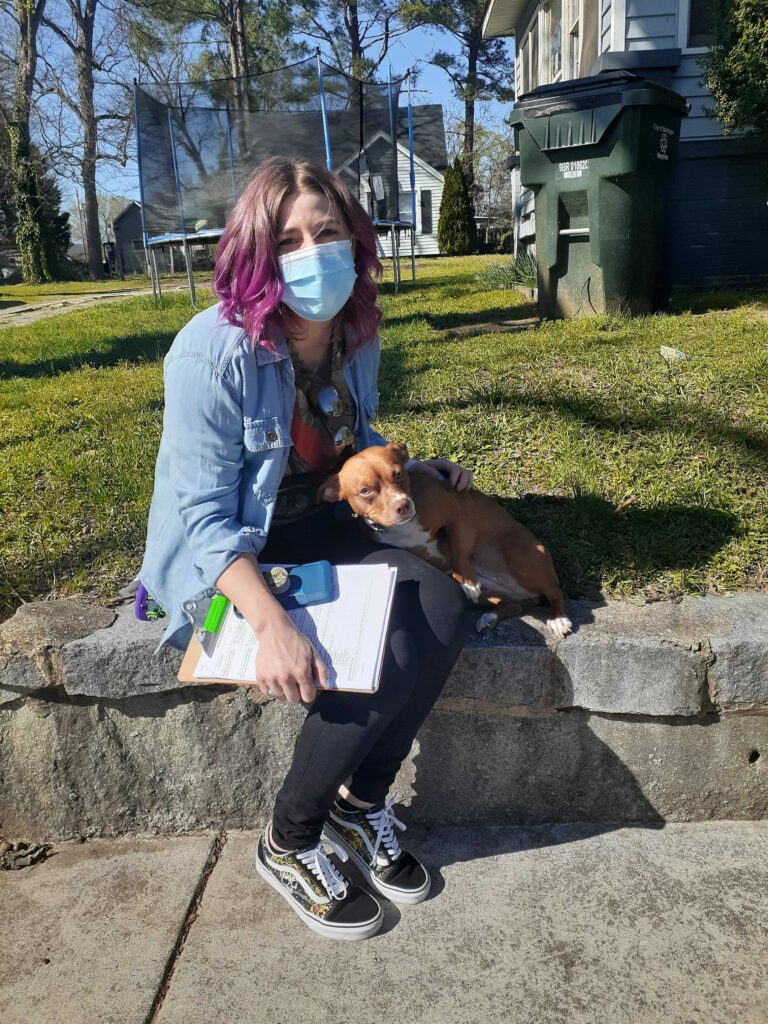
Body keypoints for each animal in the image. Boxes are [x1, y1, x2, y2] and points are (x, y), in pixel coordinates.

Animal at [315, 442, 573, 638]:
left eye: (398, 474)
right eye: (365, 491)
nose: (403, 505)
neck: (404, 526)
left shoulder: (455, 513)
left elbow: (459, 550)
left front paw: (467, 580)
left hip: (520, 555)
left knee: (555, 590)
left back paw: (558, 618)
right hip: (492, 594)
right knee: (513, 604)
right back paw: (489, 618)